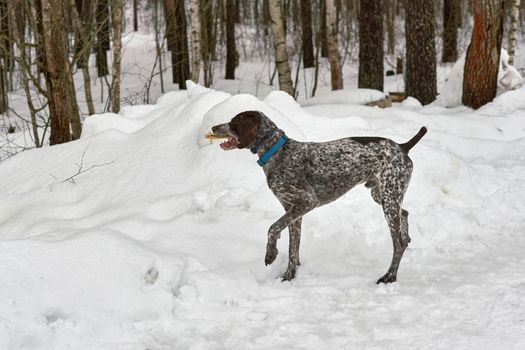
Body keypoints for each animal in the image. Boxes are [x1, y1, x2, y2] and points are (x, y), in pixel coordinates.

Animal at [210, 110, 426, 284]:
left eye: (234, 122)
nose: (213, 127)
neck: (277, 152)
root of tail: (402, 146)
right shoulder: (292, 210)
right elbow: (293, 247)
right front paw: (289, 275)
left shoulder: (307, 201)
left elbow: (273, 228)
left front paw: (271, 253)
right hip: (381, 195)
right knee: (405, 214)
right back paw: (406, 238)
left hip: (388, 200)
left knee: (397, 244)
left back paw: (390, 276)